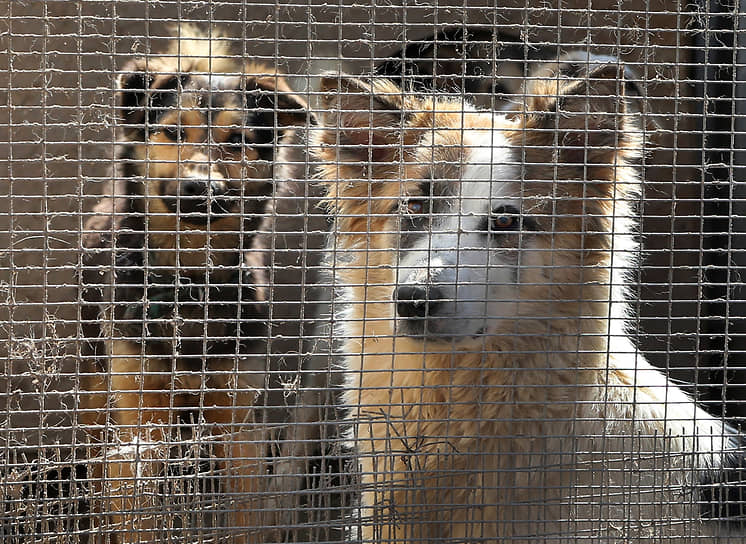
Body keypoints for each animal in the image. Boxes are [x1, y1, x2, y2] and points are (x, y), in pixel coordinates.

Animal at [80, 26, 310, 544]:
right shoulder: (139, 418)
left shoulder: (239, 422)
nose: (201, 188)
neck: (189, 281)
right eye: (171, 132)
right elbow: (136, 519)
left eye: (238, 141)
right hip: (95, 390)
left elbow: (246, 517)